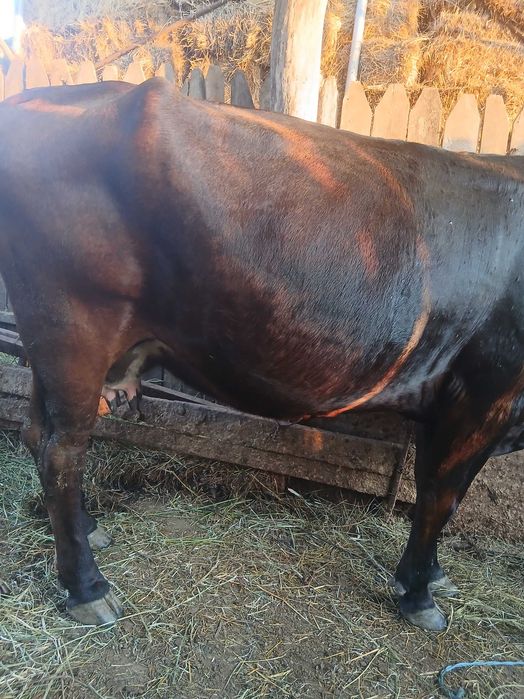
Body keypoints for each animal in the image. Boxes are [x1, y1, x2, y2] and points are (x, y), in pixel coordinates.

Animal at [0, 78, 522, 632]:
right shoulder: (485, 394)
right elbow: (442, 496)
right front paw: (421, 593)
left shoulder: (446, 398)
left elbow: (432, 489)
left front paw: (432, 575)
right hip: (71, 328)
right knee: (62, 453)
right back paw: (88, 588)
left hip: (51, 345)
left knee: (37, 433)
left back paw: (89, 530)